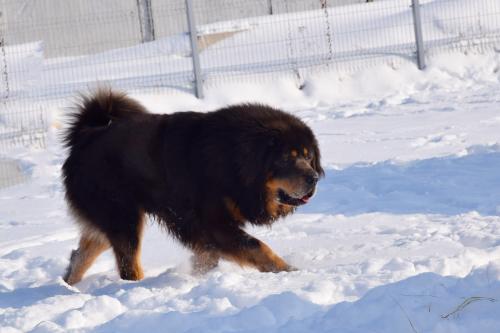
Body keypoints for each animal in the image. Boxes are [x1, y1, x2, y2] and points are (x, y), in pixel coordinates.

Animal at [61, 88, 324, 282]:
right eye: (286, 158)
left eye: (308, 156)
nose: (314, 178)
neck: (235, 161)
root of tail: (85, 137)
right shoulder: (215, 223)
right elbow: (257, 246)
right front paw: (288, 270)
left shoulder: (201, 228)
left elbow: (209, 254)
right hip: (124, 218)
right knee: (128, 265)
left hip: (113, 218)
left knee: (81, 254)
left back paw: (69, 284)